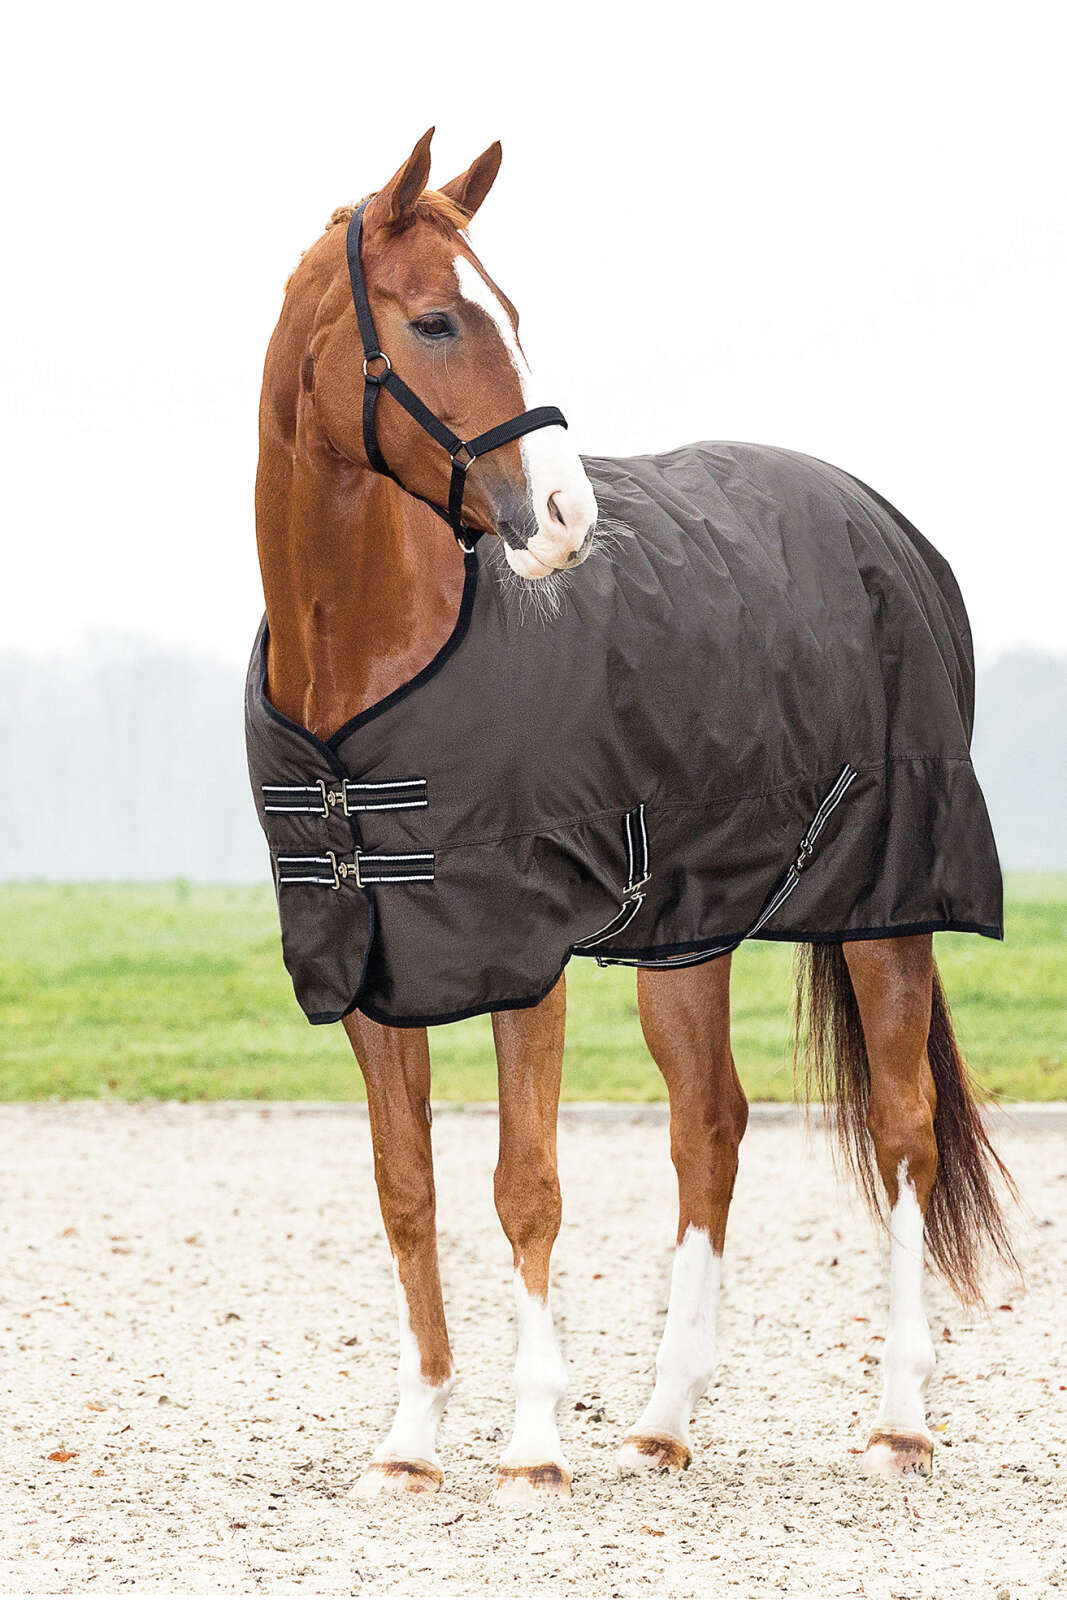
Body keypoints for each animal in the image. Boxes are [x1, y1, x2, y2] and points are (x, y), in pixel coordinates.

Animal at [252, 129, 1015, 1502]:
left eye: (511, 313)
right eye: (437, 319)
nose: (565, 521)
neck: (367, 672)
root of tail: (882, 524)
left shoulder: (522, 958)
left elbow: (525, 1184)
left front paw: (531, 1445)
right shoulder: (374, 963)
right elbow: (406, 1188)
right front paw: (410, 1440)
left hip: (887, 908)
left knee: (901, 1136)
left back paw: (898, 1419)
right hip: (687, 930)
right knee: (709, 1126)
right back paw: (664, 1418)